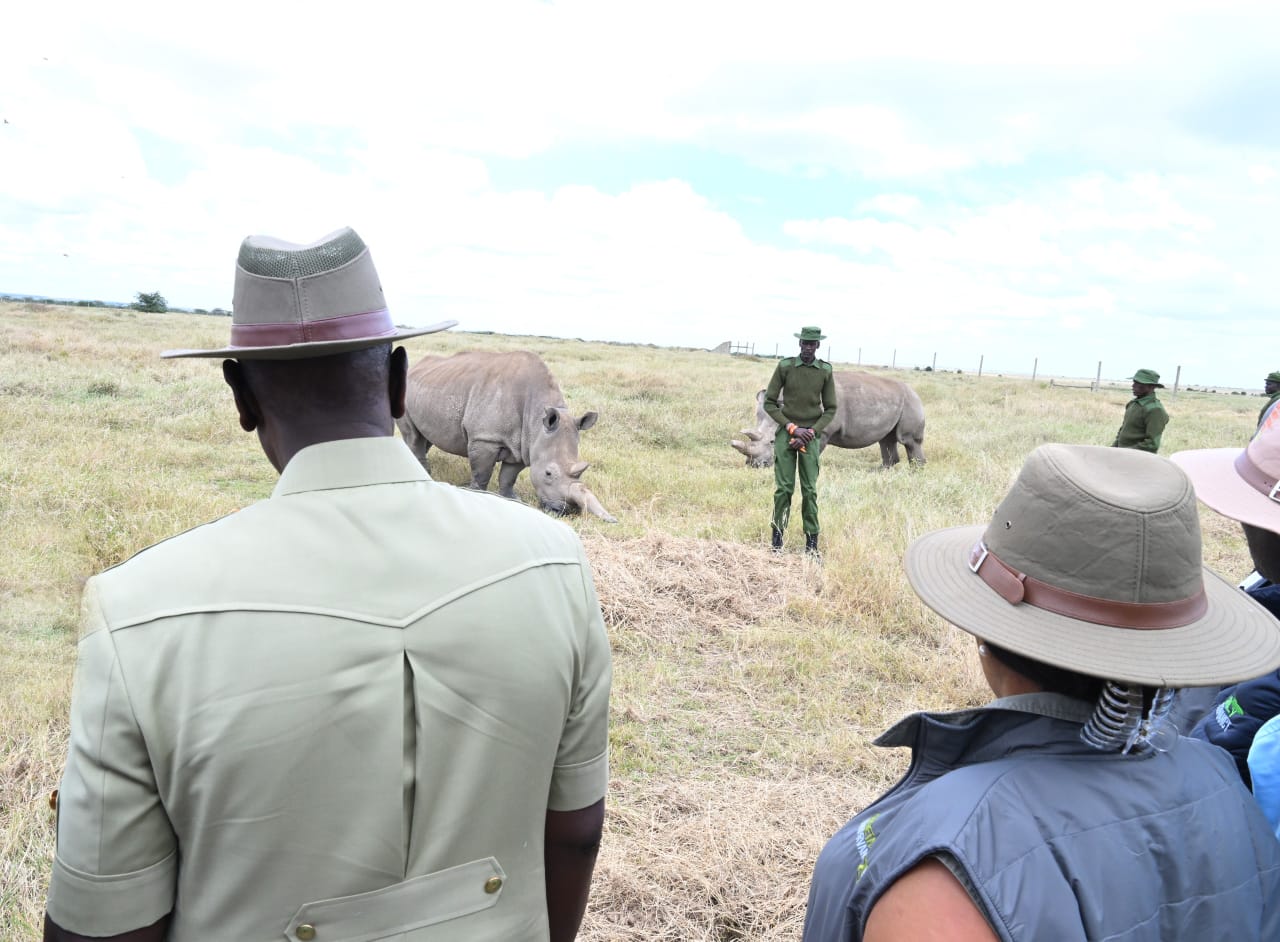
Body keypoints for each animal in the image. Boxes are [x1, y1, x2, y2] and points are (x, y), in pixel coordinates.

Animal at [397, 350, 617, 522]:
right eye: (548, 473)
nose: (565, 510)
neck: (537, 418)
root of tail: (416, 368)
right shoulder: (485, 438)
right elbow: (482, 473)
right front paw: (477, 495)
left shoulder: (523, 444)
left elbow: (509, 476)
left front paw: (513, 499)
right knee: (414, 436)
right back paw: (423, 473)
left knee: (424, 437)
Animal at [730, 371, 926, 469]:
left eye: (772, 441)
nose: (754, 465)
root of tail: (915, 392)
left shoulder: (822, 430)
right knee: (886, 439)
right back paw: (881, 472)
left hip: (911, 402)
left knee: (908, 440)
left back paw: (915, 472)